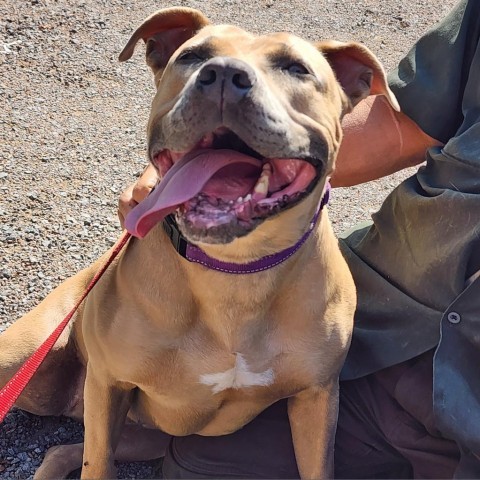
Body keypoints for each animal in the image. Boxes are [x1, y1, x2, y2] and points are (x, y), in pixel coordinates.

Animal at [0, 7, 398, 480]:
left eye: (296, 68)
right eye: (192, 56)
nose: (223, 74)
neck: (235, 272)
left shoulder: (316, 399)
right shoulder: (109, 383)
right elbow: (97, 466)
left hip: (144, 437)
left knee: (62, 450)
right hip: (29, 363)